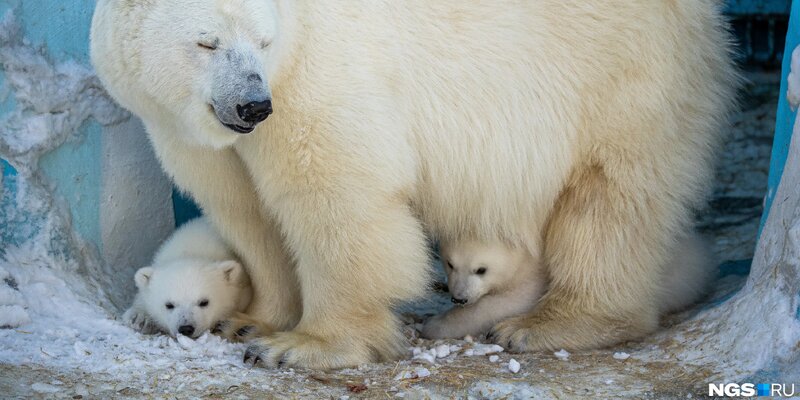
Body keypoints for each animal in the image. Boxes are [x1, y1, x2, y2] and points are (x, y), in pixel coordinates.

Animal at [90, 0, 736, 368]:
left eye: (263, 41)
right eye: (208, 41)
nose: (253, 105)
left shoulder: (317, 76)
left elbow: (335, 195)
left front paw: (305, 345)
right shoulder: (188, 128)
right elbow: (245, 208)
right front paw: (253, 319)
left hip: (622, 73)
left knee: (611, 193)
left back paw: (552, 323)